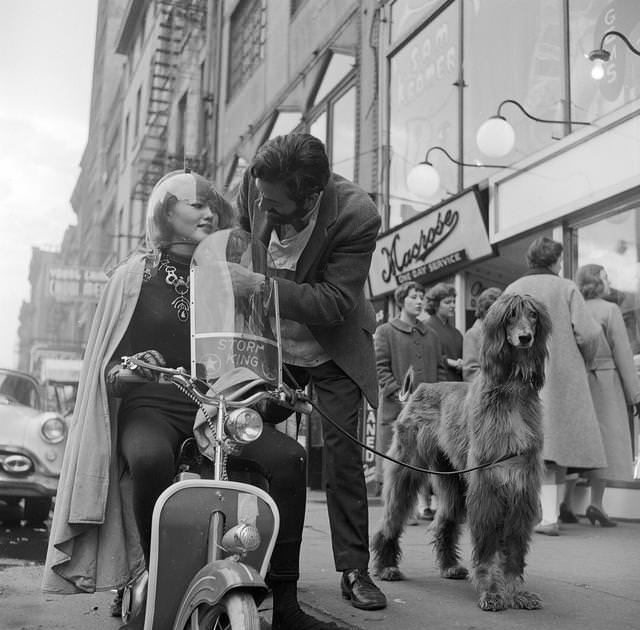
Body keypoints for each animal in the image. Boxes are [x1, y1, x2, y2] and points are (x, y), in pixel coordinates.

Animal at [372, 296, 552, 612]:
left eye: (533, 315)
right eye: (510, 316)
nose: (525, 338)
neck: (511, 393)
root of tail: (419, 389)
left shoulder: (521, 484)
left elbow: (514, 547)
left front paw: (516, 592)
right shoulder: (487, 485)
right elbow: (488, 547)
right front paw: (491, 592)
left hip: (452, 476)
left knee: (444, 519)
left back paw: (448, 566)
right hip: (407, 465)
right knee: (391, 517)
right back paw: (386, 566)